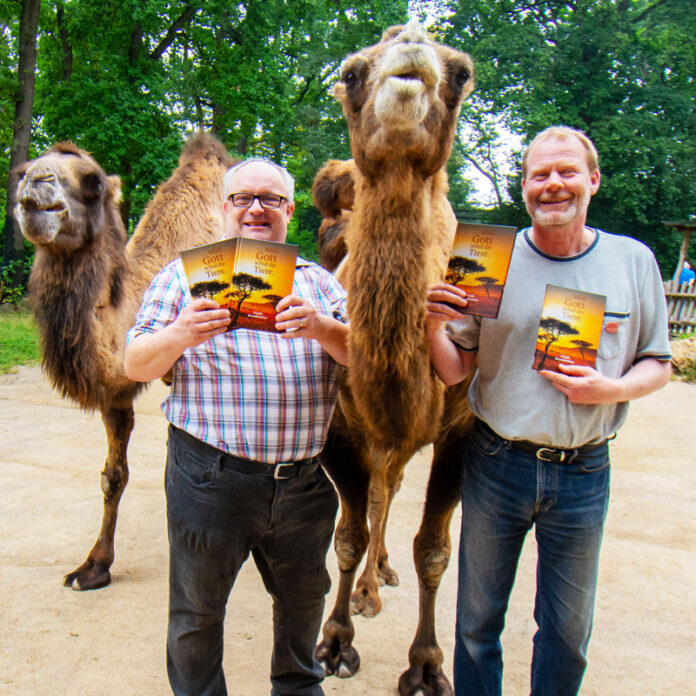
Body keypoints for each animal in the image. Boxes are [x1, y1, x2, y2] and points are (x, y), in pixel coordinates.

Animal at [12, 133, 234, 588]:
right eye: (22, 171)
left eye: (93, 181)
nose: (34, 189)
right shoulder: (114, 392)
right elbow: (113, 476)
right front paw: (94, 566)